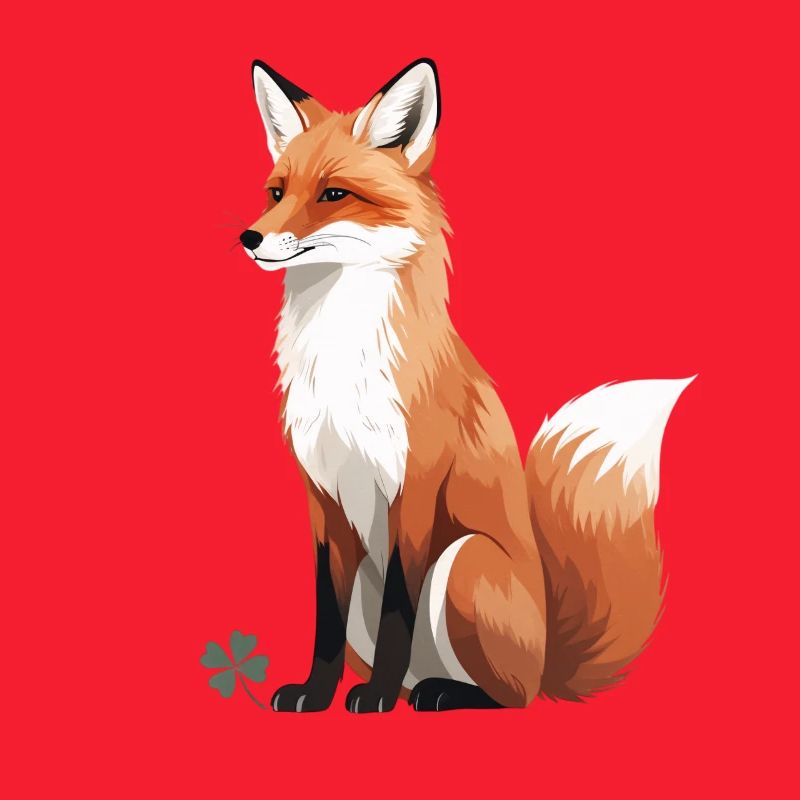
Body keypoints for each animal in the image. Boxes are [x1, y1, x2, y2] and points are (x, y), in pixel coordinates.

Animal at [239, 57, 693, 712]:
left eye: (333, 194)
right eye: (277, 193)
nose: (249, 237)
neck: (341, 365)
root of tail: (549, 658)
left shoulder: (414, 488)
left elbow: (399, 608)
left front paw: (374, 698)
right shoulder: (321, 497)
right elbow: (325, 614)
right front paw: (315, 692)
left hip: (465, 559)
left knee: (511, 695)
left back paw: (435, 694)